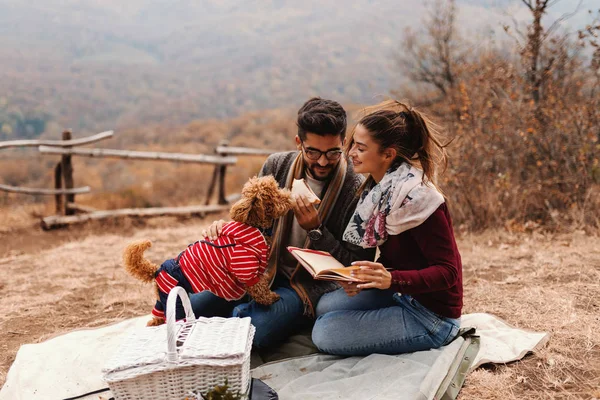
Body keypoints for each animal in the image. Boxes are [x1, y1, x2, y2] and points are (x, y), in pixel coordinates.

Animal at [123, 177, 292, 326]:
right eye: (275, 194)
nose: (289, 195)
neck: (254, 226)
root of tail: (156, 270)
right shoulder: (245, 268)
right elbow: (260, 289)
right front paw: (272, 298)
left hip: (163, 297)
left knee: (158, 315)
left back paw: (154, 322)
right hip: (174, 299)